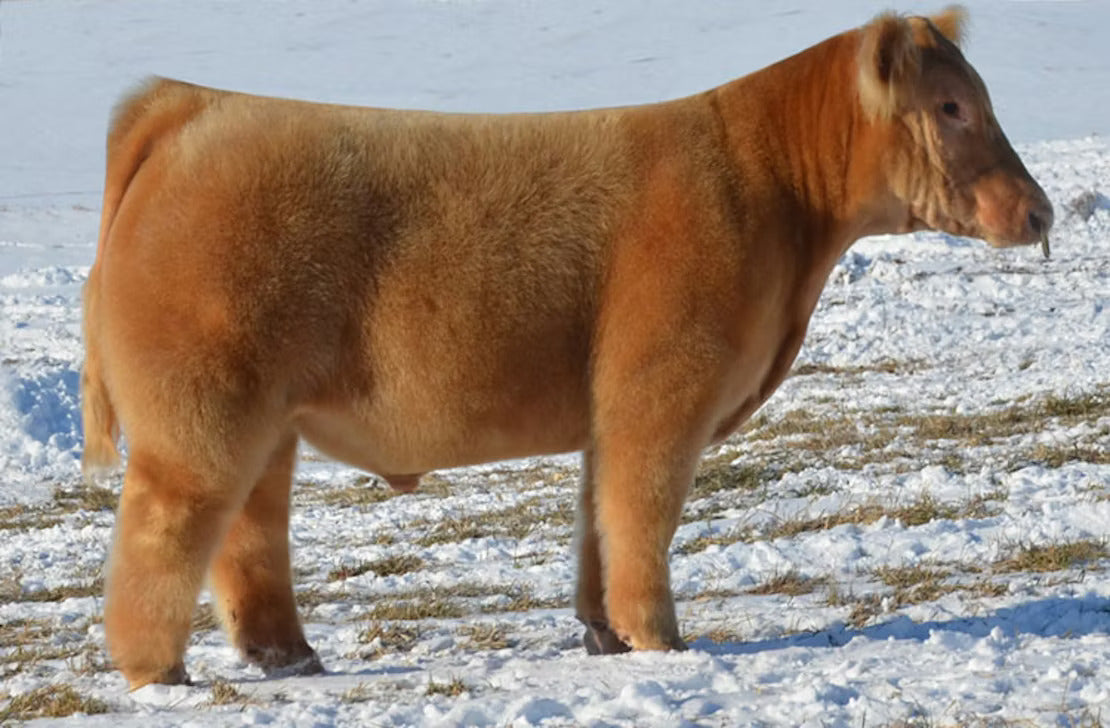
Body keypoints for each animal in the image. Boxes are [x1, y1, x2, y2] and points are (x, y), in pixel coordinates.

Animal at [81, 6, 1053, 689]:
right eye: (953, 106)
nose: (1039, 210)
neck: (771, 192)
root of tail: (190, 106)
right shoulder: (662, 393)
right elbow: (642, 513)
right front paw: (660, 636)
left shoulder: (608, 413)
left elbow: (598, 519)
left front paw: (603, 633)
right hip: (201, 416)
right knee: (167, 530)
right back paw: (158, 670)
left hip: (265, 420)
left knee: (249, 532)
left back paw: (288, 655)